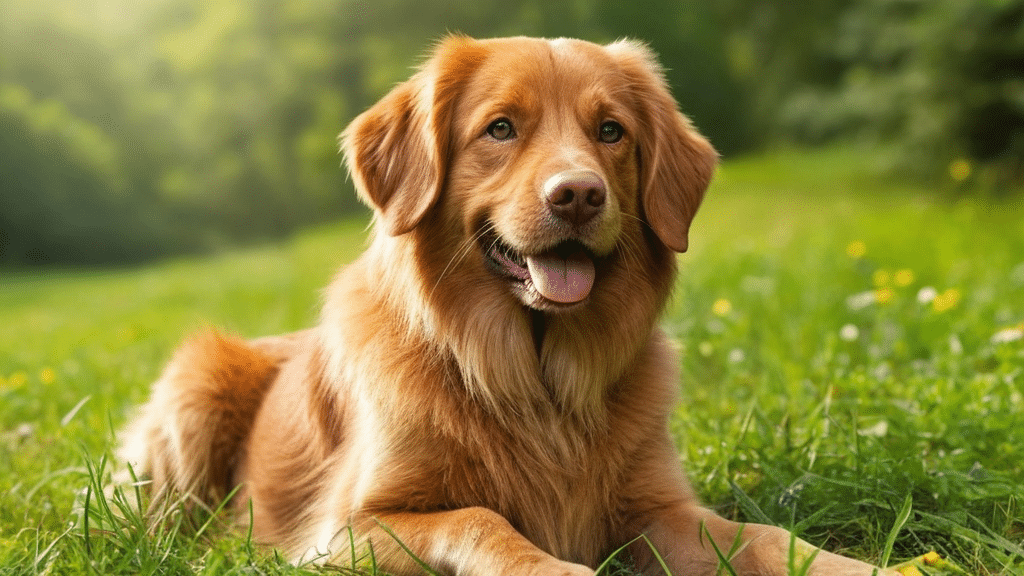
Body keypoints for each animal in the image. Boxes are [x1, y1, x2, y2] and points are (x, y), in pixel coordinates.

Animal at [116, 35, 892, 573]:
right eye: (500, 128)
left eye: (610, 131)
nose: (578, 194)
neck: (534, 377)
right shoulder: (350, 529)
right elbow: (481, 519)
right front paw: (554, 566)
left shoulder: (656, 508)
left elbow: (769, 537)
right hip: (195, 393)